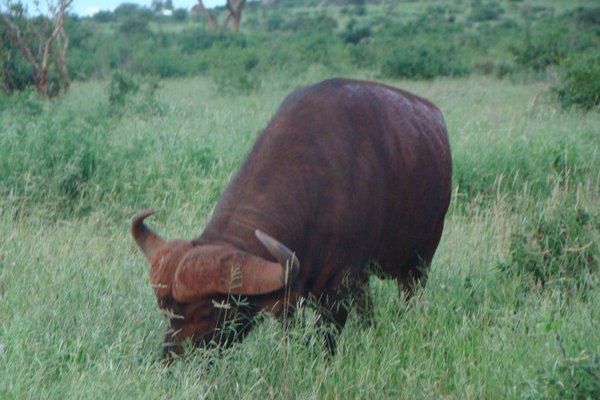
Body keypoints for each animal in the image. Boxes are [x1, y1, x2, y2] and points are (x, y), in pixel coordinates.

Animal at [130, 78, 450, 356]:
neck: (319, 191)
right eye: (166, 309)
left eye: (208, 311)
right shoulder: (293, 296)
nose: (173, 360)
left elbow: (327, 339)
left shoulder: (340, 289)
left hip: (420, 260)